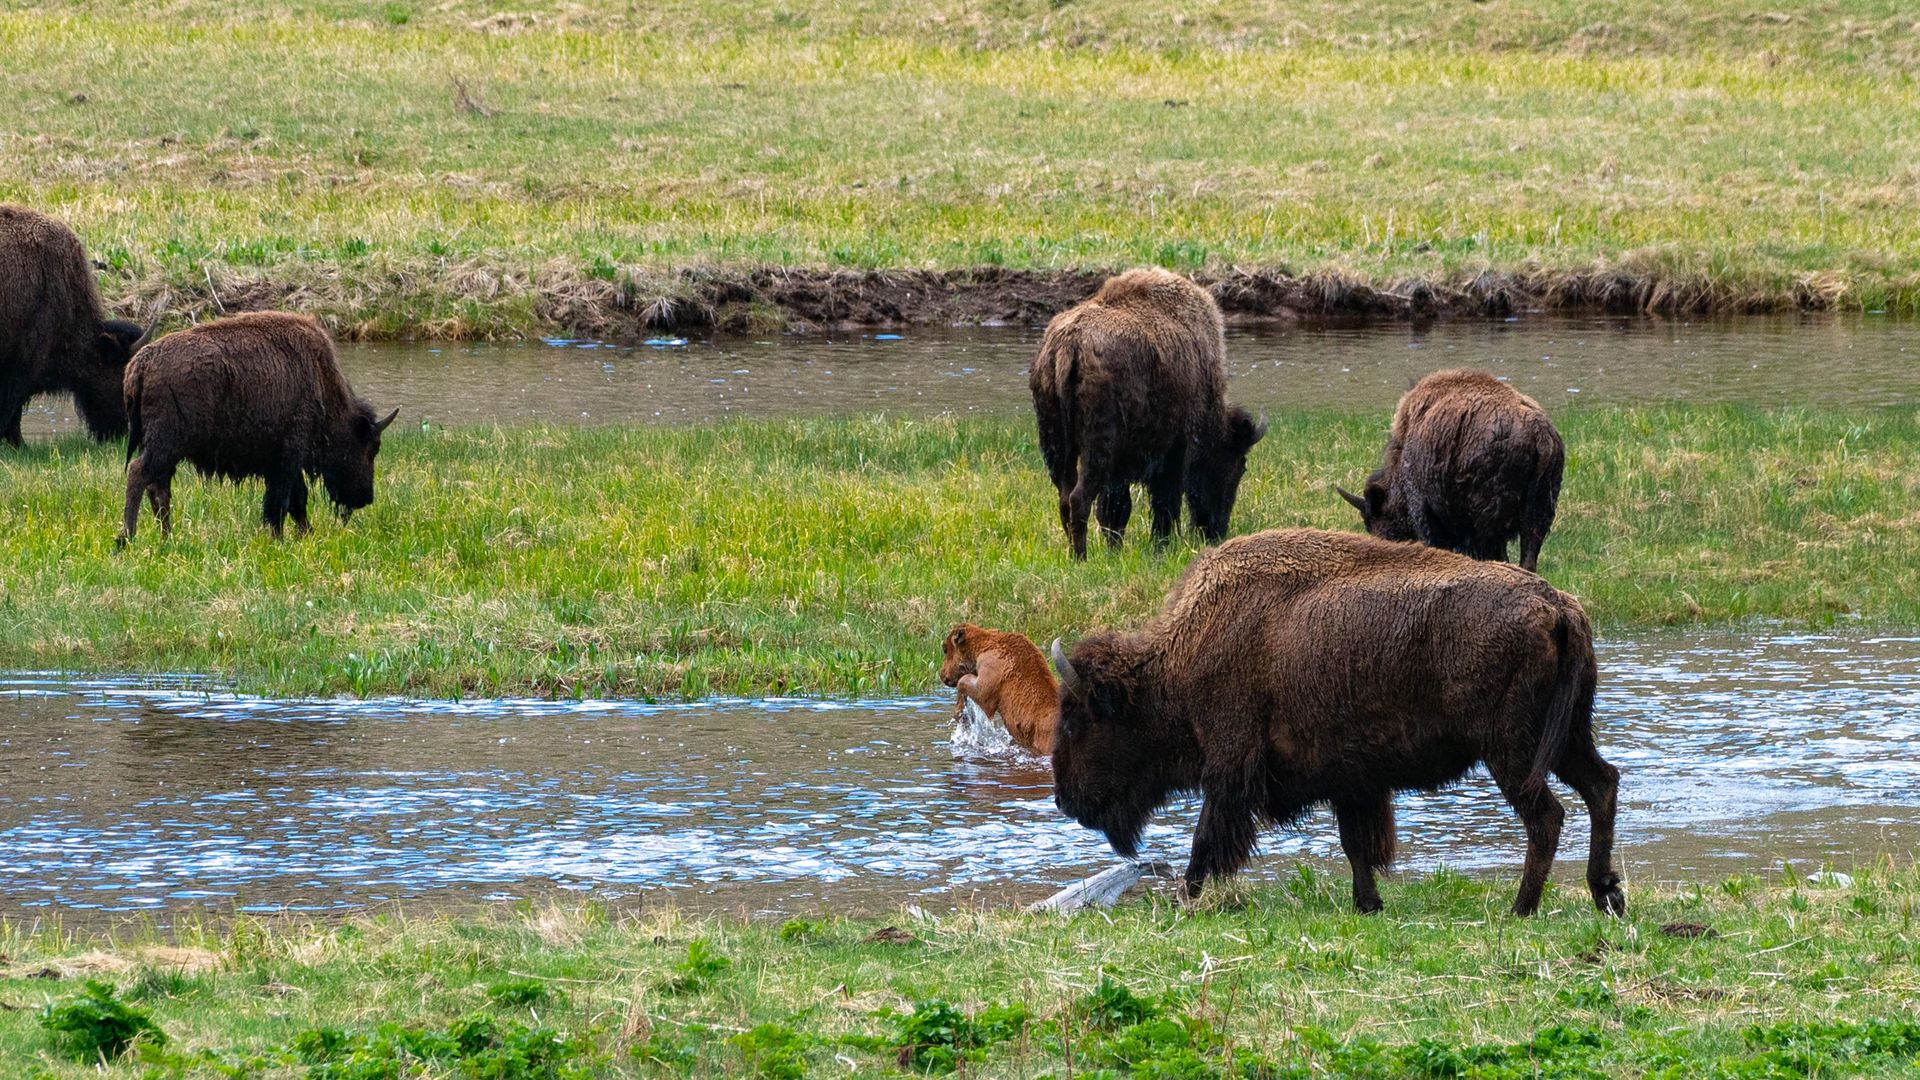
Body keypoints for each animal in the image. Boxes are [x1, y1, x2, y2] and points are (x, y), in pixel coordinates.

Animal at [118, 312, 398, 543]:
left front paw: (305, 534)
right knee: (140, 474)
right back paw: (126, 539)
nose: (366, 498)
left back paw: (167, 537)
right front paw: (280, 538)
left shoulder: (282, 461)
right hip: (166, 444)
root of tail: (142, 362)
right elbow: (284, 500)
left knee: (158, 488)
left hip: (159, 447)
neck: (321, 384)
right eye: (370, 447)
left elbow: (295, 499)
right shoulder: (290, 454)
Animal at [939, 623, 1059, 755]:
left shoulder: (985, 689)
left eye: (945, 649)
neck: (984, 645)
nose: (942, 674)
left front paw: (962, 717)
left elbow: (963, 682)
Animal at [1029, 268, 1266, 558]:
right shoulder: (1173, 452)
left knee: (1065, 497)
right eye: (1237, 465)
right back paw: (1081, 558)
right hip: (1097, 450)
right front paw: (1160, 545)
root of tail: (1069, 343)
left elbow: (1116, 509)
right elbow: (1163, 503)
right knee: (1079, 498)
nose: (1215, 531)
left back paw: (1075, 554)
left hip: (1056, 446)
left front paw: (1116, 549)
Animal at [1047, 527, 1623, 918]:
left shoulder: (1230, 765)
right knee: (1602, 784)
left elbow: (1206, 838)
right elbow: (1355, 843)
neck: (1179, 659)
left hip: (1511, 750)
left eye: (1076, 725)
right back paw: (1606, 895)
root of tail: (1557, 605)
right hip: (1565, 738)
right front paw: (1368, 903)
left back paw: (1521, 908)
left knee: (1546, 815)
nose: (1065, 802)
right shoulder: (1351, 778)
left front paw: (1183, 898)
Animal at [1338, 368, 1564, 572]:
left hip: (1490, 523)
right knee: (1528, 557)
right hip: (1538, 515)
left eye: (1378, 519)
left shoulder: (1423, 508)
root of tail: (1540, 433)